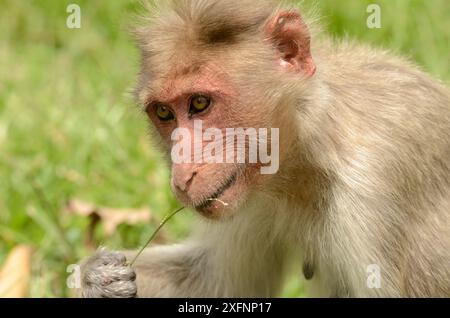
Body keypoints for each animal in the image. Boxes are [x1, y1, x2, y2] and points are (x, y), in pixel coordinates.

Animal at [80, 0, 450, 298]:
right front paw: (95, 277)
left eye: (199, 103)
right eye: (164, 113)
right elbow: (219, 282)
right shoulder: (250, 189)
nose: (183, 176)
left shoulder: (377, 185)